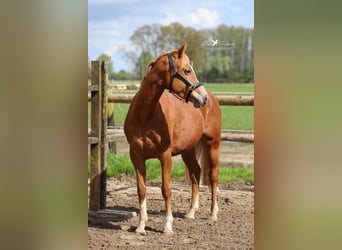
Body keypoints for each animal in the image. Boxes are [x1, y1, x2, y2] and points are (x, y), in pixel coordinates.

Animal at [124, 43, 220, 234]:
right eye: (187, 70)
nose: (203, 97)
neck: (145, 116)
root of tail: (213, 100)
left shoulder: (165, 156)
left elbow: (166, 189)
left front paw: (168, 226)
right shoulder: (136, 157)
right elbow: (141, 190)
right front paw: (141, 225)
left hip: (212, 144)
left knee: (212, 176)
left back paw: (213, 213)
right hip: (188, 150)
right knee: (196, 173)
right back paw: (191, 212)